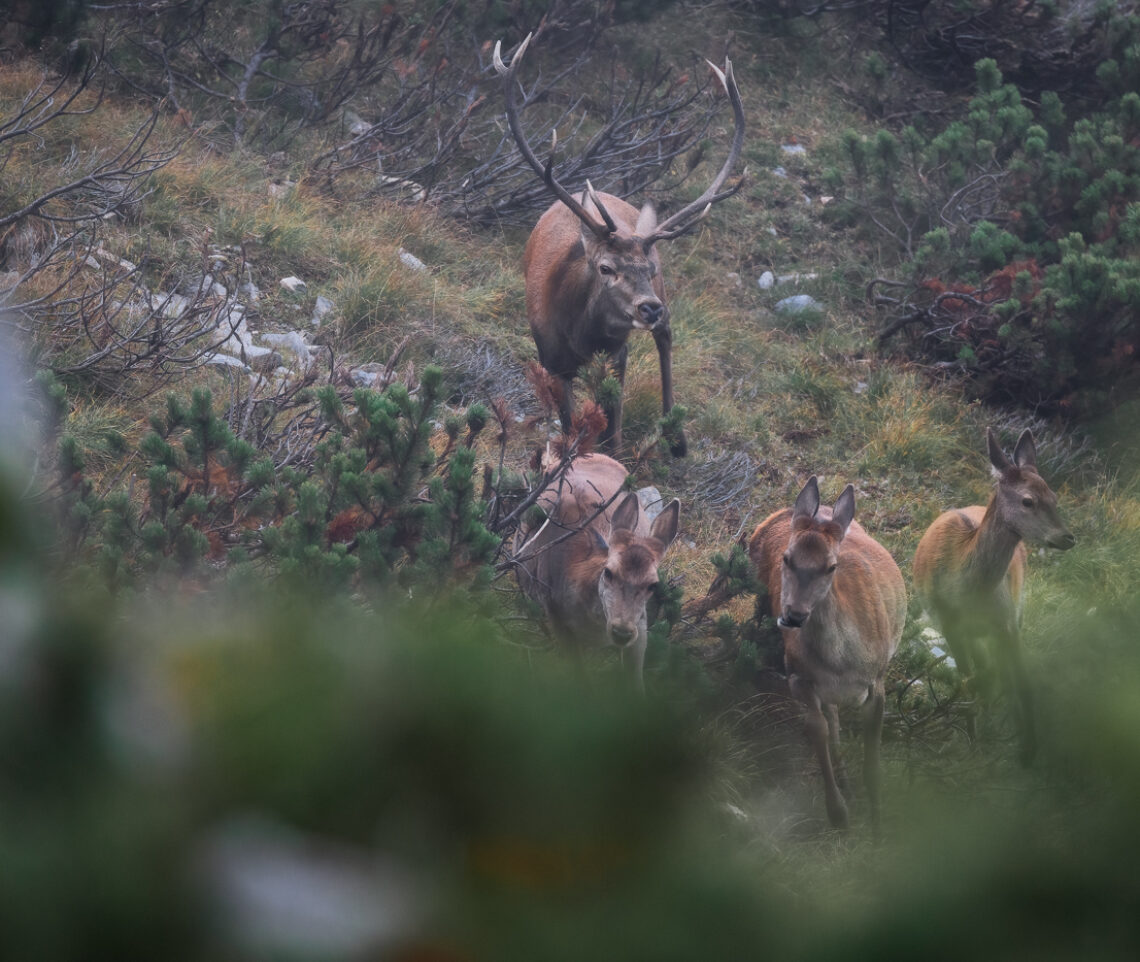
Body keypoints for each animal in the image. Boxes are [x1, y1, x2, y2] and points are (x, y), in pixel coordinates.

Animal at [492, 34, 743, 458]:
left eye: (651, 269)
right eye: (606, 267)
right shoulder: (551, 360)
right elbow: (569, 422)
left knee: (666, 345)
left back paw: (676, 439)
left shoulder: (617, 355)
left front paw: (613, 458)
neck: (580, 336)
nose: (650, 307)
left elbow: (613, 430)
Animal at [515, 453, 674, 693]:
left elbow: (636, 682)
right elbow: (580, 677)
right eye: (608, 572)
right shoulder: (555, 613)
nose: (621, 632)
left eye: (653, 584)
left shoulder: (640, 622)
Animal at [747, 476, 907, 829]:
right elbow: (817, 729)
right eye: (786, 557)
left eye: (831, 566)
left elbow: (873, 763)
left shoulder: (877, 680)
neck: (841, 662)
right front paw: (838, 814)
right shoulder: (798, 677)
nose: (793, 616)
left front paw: (878, 822)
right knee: (832, 718)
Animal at [912, 426, 1071, 756]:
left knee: (994, 669)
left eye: (1054, 496)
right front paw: (973, 742)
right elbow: (967, 680)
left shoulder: (1007, 620)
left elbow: (1021, 682)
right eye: (1028, 500)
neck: (966, 591)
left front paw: (1028, 749)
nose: (1068, 537)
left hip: (1015, 608)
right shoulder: (948, 622)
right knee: (982, 669)